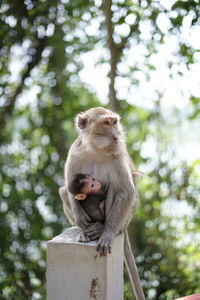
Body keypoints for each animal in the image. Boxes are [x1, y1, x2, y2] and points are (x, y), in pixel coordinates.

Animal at [59, 106, 145, 298]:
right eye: (106, 123)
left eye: (114, 122)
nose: (115, 136)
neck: (95, 150)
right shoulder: (74, 153)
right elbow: (68, 187)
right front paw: (80, 218)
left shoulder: (117, 156)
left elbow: (126, 192)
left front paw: (107, 233)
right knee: (62, 190)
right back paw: (86, 229)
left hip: (124, 219)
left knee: (117, 189)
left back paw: (101, 228)